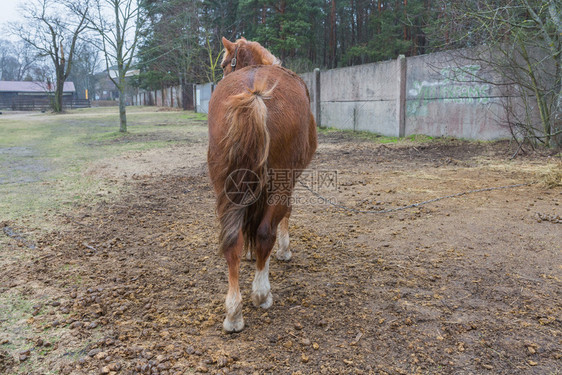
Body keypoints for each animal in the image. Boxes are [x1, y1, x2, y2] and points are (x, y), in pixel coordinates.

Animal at [208, 37, 318, 332]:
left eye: (224, 64)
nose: (223, 72)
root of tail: (255, 94)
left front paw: (249, 255)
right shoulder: (289, 181)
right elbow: (283, 216)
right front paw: (283, 251)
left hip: (224, 184)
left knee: (231, 239)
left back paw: (233, 312)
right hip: (281, 181)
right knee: (266, 231)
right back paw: (261, 293)